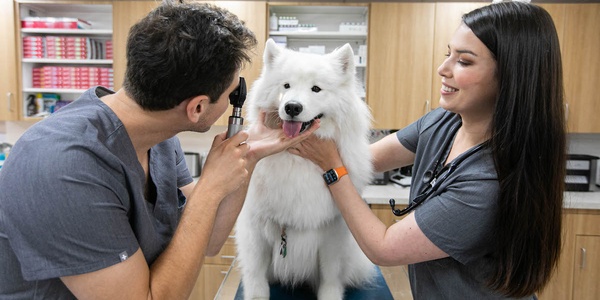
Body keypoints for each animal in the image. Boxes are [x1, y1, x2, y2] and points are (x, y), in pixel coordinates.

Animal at [236, 38, 372, 298]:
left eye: (316, 89)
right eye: (286, 85)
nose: (292, 107)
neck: (296, 159)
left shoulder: (333, 232)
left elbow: (330, 276)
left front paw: (330, 295)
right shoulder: (255, 229)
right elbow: (256, 275)